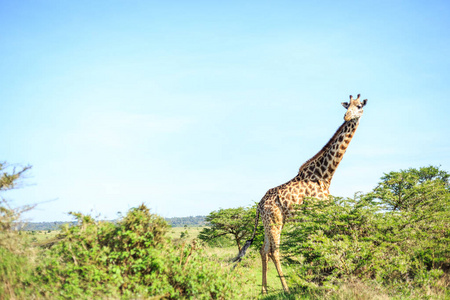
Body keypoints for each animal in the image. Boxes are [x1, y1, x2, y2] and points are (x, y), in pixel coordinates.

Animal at [234, 93, 368, 292]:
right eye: (347, 106)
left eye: (359, 106)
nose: (347, 117)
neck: (325, 175)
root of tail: (258, 205)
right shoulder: (317, 213)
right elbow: (314, 247)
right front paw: (315, 281)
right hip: (275, 221)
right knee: (273, 251)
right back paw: (286, 288)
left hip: (267, 223)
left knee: (263, 249)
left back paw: (264, 289)